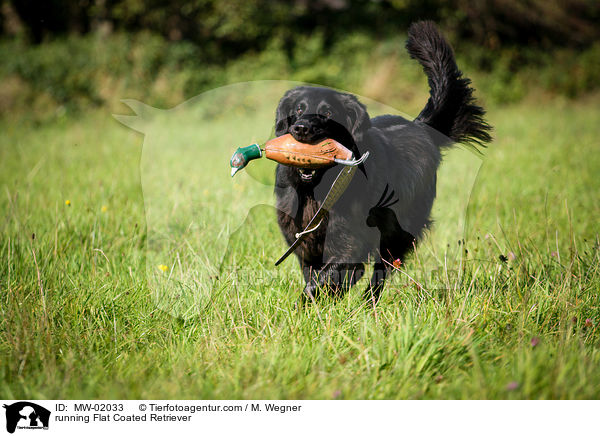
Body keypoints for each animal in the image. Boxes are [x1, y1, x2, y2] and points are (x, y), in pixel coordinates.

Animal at [274, 21, 490, 304]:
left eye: (328, 113)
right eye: (298, 109)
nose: (301, 129)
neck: (316, 189)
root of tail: (420, 126)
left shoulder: (349, 240)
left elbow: (330, 276)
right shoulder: (304, 244)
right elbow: (315, 277)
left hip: (398, 229)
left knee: (382, 269)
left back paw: (369, 304)